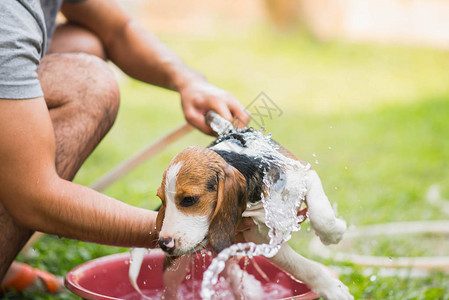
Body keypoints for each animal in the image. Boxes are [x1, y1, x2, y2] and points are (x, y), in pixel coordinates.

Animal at [156, 127, 352, 298]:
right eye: (162, 199)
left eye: (189, 199)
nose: (164, 244)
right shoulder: (258, 235)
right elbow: (298, 265)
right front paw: (332, 287)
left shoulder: (303, 174)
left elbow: (323, 217)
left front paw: (334, 234)